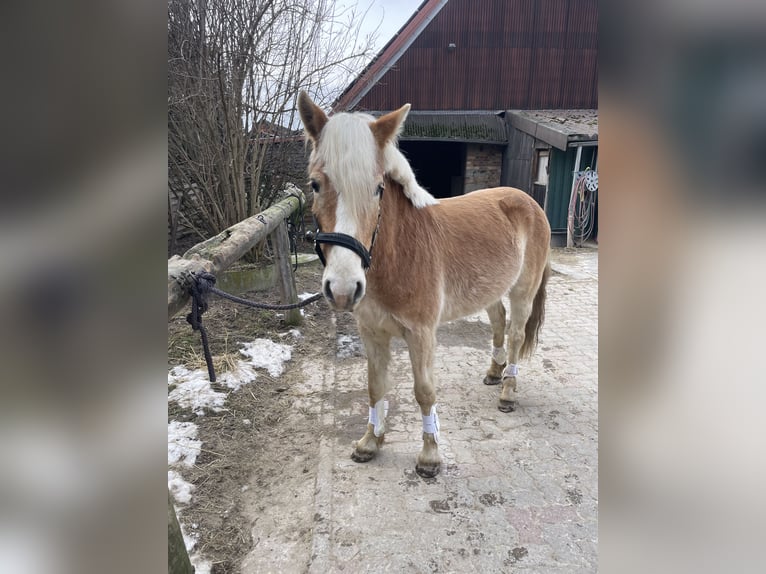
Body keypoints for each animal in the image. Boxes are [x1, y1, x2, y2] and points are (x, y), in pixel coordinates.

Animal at [298, 91, 551, 477]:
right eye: (315, 184)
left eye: (378, 189)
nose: (342, 288)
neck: (399, 253)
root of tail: (528, 202)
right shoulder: (372, 333)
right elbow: (375, 387)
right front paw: (370, 441)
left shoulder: (421, 335)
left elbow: (424, 392)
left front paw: (430, 456)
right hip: (490, 290)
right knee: (498, 322)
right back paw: (494, 372)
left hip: (523, 291)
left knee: (516, 334)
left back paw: (508, 391)